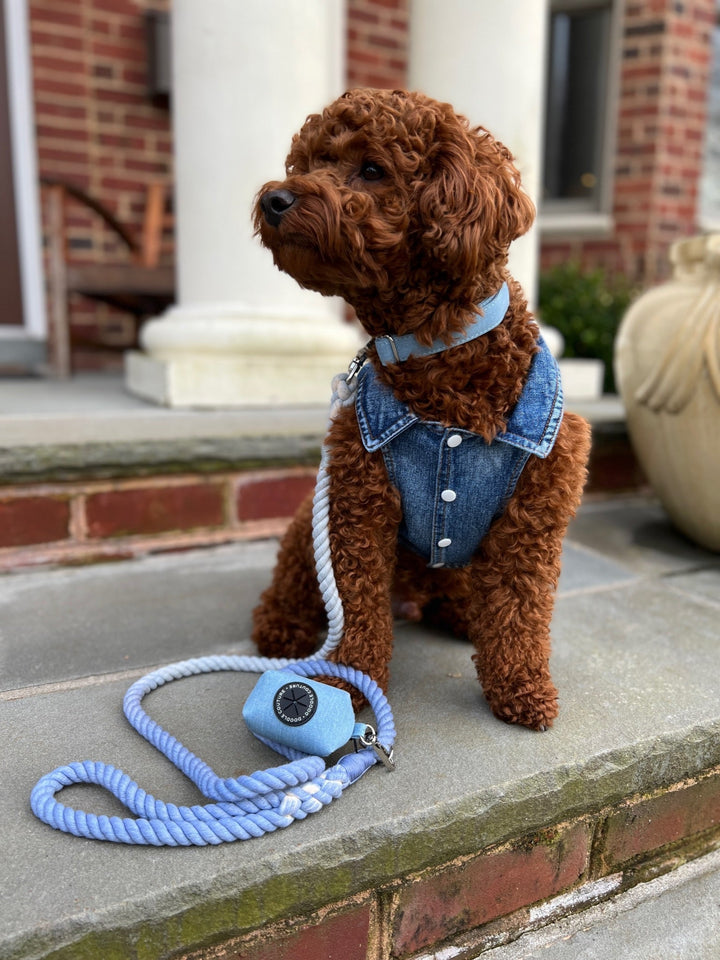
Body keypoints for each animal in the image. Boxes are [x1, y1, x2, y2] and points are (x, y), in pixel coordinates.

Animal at [250, 92, 588, 736]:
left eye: (372, 169)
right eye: (307, 162)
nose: (276, 199)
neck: (438, 354)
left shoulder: (534, 516)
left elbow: (521, 610)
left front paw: (522, 687)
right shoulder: (357, 507)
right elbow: (357, 613)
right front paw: (351, 683)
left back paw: (460, 615)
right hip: (311, 522)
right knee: (293, 587)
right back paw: (282, 629)